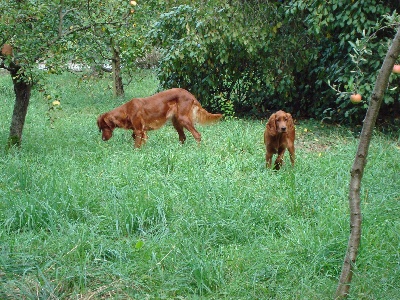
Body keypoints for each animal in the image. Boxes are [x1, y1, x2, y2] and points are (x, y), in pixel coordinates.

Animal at [95, 88, 223, 148]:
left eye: (105, 127)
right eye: (101, 128)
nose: (103, 139)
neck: (126, 110)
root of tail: (191, 95)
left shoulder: (138, 130)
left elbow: (136, 146)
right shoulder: (141, 132)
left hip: (183, 119)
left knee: (197, 135)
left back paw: (197, 149)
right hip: (176, 122)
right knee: (183, 137)